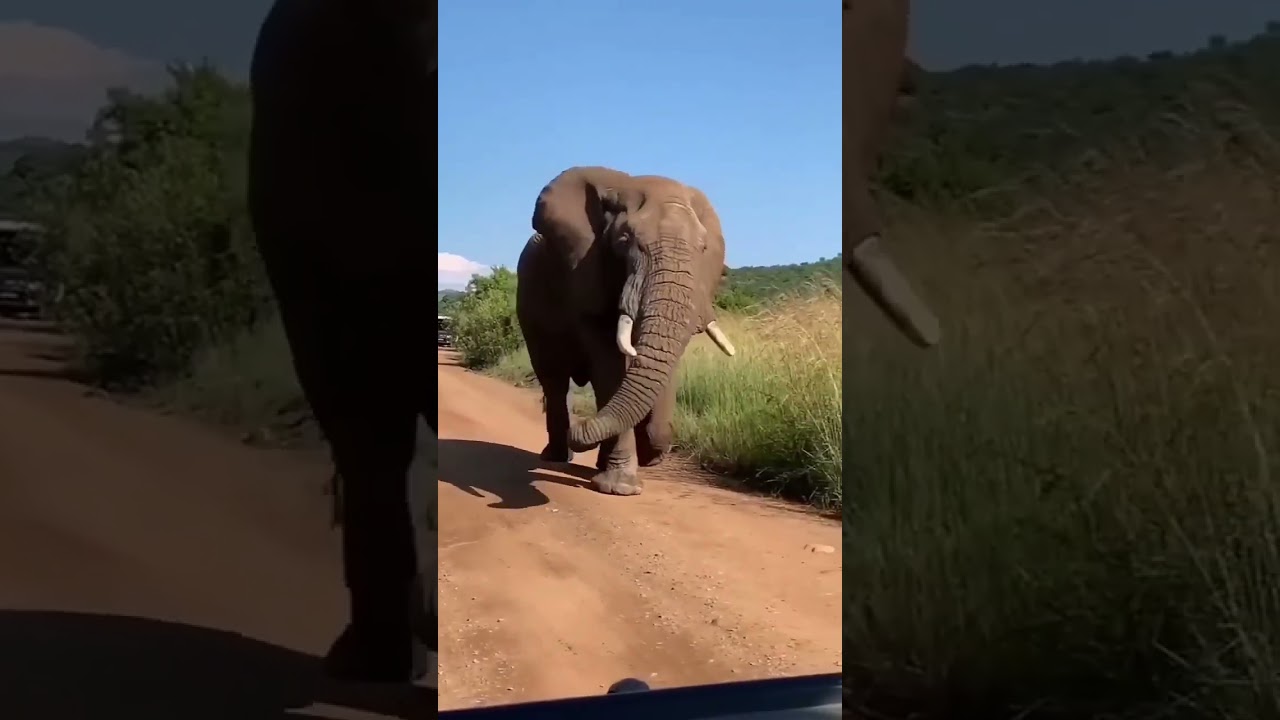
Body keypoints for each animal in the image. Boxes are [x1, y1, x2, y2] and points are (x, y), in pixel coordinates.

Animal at [516, 166, 738, 496]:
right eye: (624, 240)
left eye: (703, 248)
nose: (582, 428)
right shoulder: (588, 275)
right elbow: (609, 365)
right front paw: (621, 487)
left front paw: (651, 451)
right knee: (554, 379)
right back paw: (557, 457)